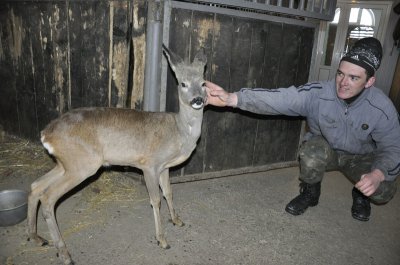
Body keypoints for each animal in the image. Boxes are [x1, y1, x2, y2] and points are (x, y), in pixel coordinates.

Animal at [26, 46, 208, 264]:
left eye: (204, 83)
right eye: (183, 83)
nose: (198, 99)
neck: (178, 131)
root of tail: (46, 133)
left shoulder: (164, 167)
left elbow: (168, 192)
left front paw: (177, 220)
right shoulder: (149, 164)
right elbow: (155, 200)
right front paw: (162, 240)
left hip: (66, 163)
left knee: (36, 186)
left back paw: (36, 237)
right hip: (82, 165)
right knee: (48, 197)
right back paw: (64, 253)